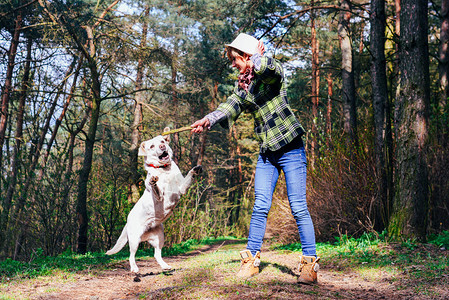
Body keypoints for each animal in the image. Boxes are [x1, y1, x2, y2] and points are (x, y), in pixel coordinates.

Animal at [106, 129, 200, 272]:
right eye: (151, 146)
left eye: (162, 141)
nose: (162, 146)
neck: (165, 169)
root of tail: (128, 222)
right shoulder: (160, 196)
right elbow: (157, 189)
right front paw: (153, 181)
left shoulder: (182, 188)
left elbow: (189, 177)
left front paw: (195, 170)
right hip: (134, 239)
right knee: (131, 255)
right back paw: (134, 268)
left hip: (160, 236)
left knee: (157, 254)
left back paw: (165, 266)